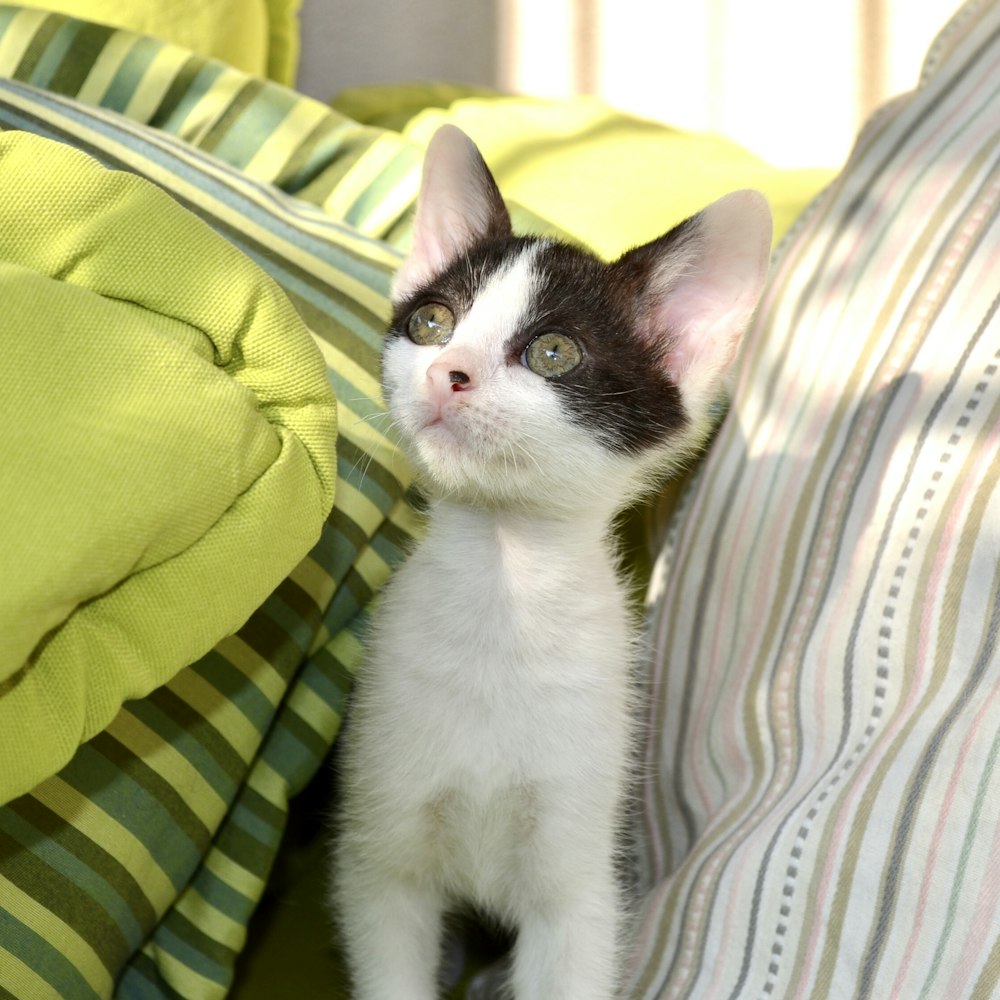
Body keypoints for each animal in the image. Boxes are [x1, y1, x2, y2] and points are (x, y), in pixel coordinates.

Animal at [332, 127, 768, 1000]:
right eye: (432, 322)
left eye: (554, 353)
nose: (449, 372)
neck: (503, 591)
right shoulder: (379, 853)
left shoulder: (579, 878)